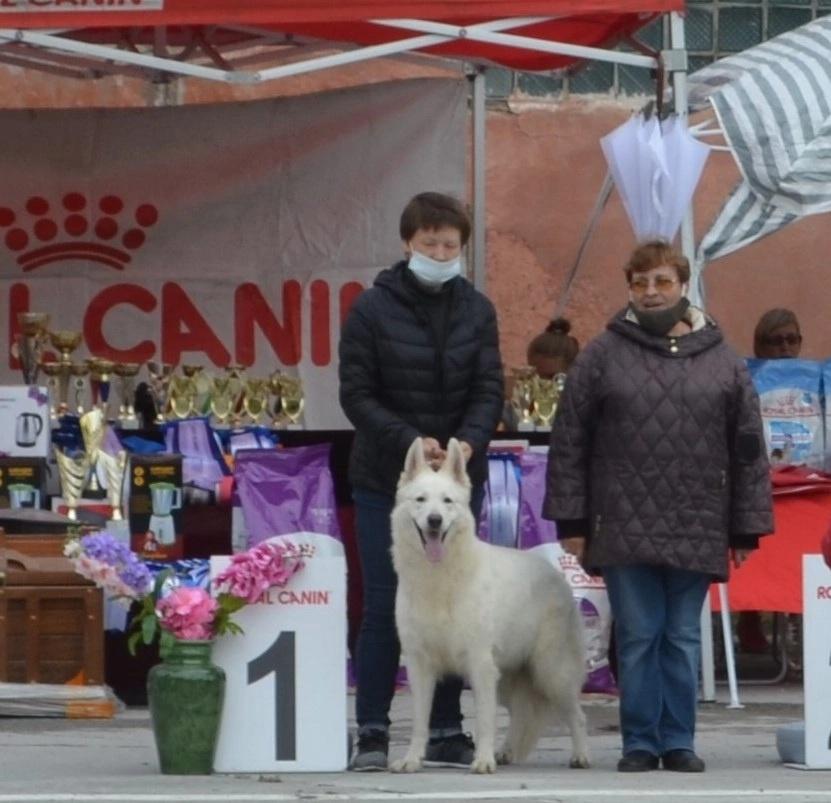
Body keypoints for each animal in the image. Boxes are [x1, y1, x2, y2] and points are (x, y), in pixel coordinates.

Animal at [392, 436, 592, 776]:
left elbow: (485, 720)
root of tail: (555, 574)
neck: (440, 579)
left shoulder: (480, 664)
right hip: (509, 678)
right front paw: (412, 759)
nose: (434, 521)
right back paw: (507, 751)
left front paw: (482, 760)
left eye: (447, 501)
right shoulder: (420, 666)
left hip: (551, 672)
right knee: (521, 713)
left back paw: (580, 755)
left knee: (576, 714)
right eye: (421, 500)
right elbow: (420, 721)